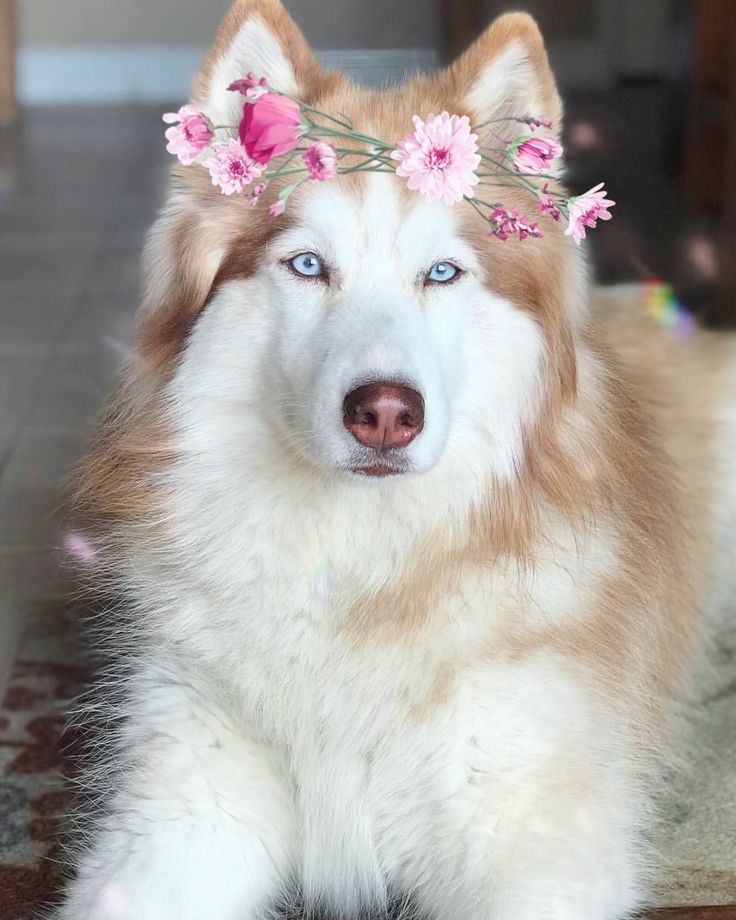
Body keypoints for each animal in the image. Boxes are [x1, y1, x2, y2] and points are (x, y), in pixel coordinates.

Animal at [57, 3, 736, 916]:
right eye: (308, 265)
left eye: (441, 273)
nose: (385, 415)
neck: (355, 559)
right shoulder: (176, 821)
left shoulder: (536, 843)